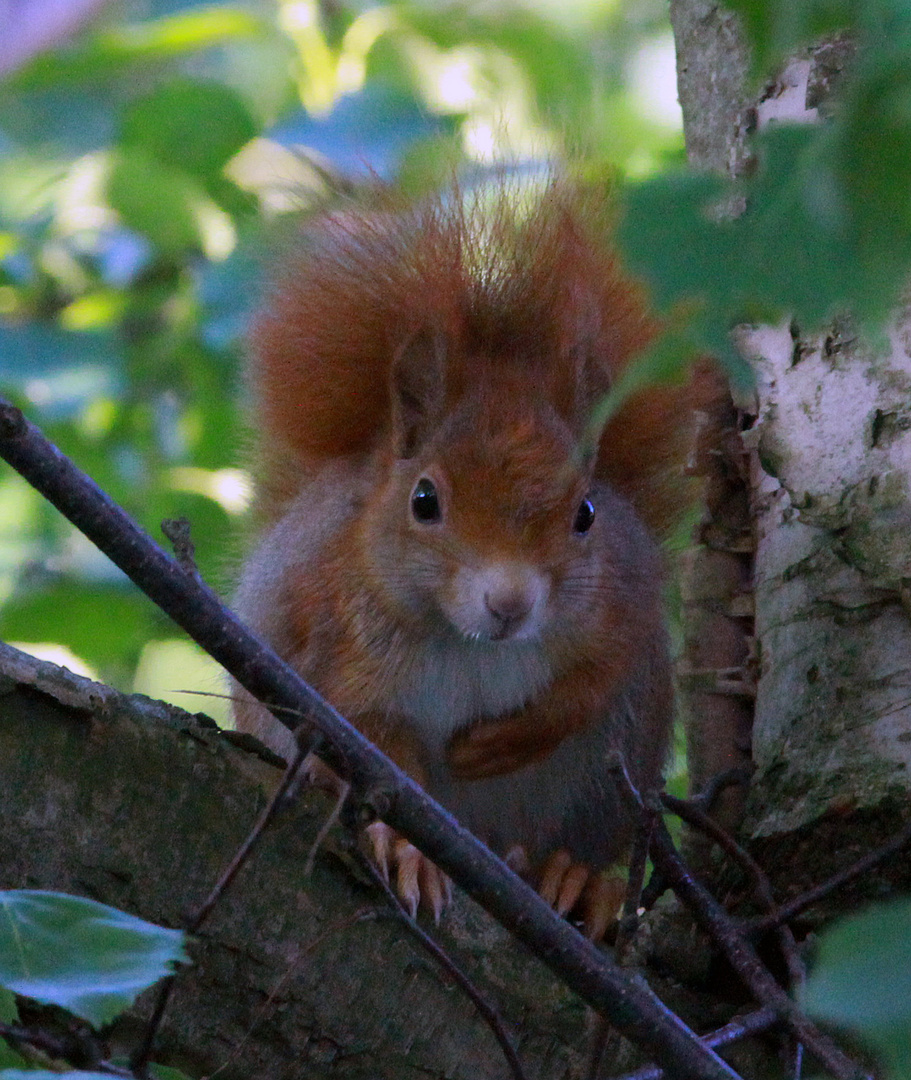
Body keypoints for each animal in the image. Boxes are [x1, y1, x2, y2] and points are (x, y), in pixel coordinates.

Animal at [233, 179, 703, 937]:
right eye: (423, 500)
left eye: (586, 513)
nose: (509, 603)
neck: (469, 642)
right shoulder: (332, 645)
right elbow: (378, 752)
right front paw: (408, 851)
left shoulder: (621, 598)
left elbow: (597, 675)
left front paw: (507, 740)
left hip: (610, 778)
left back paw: (574, 878)